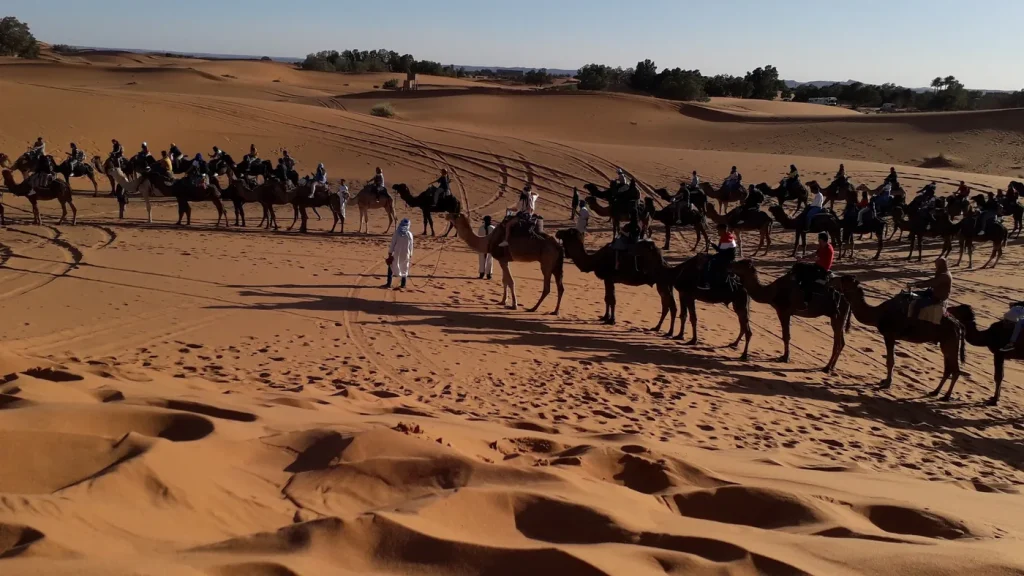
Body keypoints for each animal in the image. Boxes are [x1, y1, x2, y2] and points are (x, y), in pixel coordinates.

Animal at [829, 275, 964, 397]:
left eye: (844, 279)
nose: (831, 279)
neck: (878, 314)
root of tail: (959, 325)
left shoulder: (889, 335)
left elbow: (890, 361)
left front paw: (887, 383)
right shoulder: (890, 336)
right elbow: (890, 360)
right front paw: (884, 380)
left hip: (950, 341)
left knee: (955, 370)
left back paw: (946, 396)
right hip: (946, 343)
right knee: (948, 369)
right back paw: (935, 392)